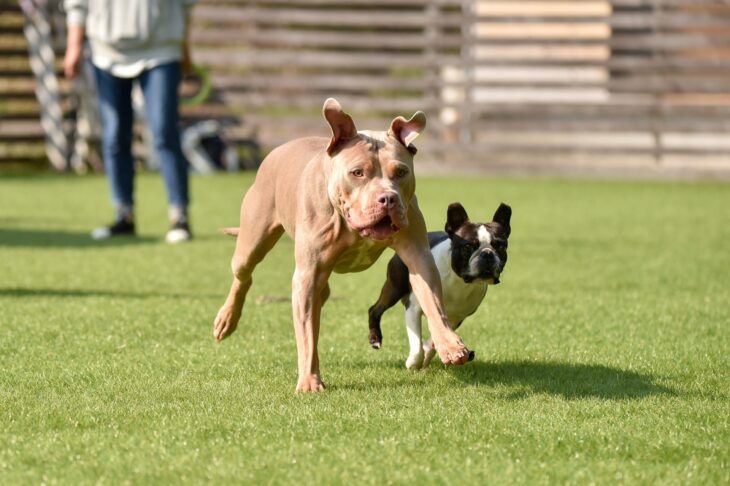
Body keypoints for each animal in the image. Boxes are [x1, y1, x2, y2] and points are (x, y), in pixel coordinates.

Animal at [213, 98, 470, 392]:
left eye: (401, 172)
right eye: (357, 173)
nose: (388, 199)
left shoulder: (419, 257)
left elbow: (434, 303)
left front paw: (450, 345)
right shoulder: (308, 274)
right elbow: (306, 334)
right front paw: (309, 381)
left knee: (319, 295)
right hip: (253, 241)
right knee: (244, 275)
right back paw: (226, 319)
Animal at [366, 202, 510, 368]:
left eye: (500, 246)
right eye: (468, 247)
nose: (487, 253)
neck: (459, 281)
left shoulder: (456, 318)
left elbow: (435, 338)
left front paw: (437, 351)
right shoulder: (413, 308)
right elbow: (417, 346)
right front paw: (413, 363)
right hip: (395, 287)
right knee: (375, 309)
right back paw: (375, 339)